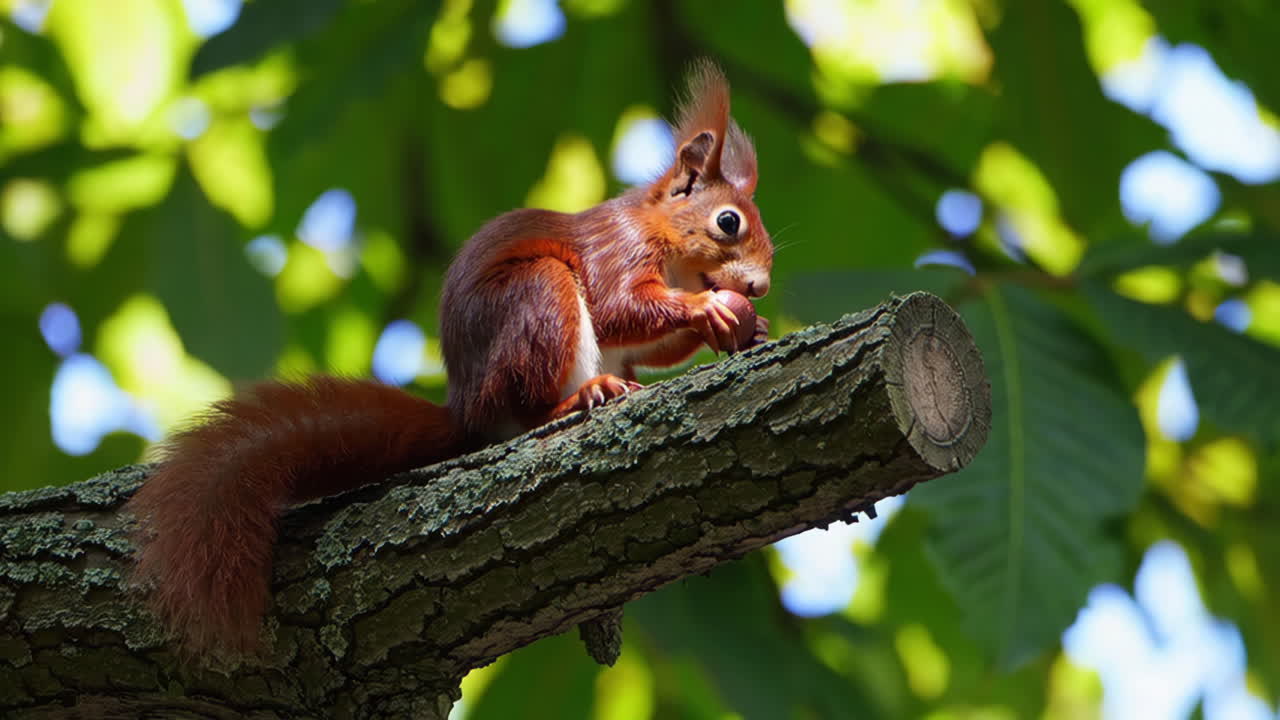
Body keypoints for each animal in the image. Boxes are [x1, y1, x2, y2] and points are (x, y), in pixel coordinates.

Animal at [125, 61, 774, 657]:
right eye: (728, 222)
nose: (761, 286)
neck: (669, 248)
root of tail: (466, 409)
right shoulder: (616, 253)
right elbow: (620, 309)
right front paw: (707, 308)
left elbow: (651, 344)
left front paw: (745, 326)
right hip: (538, 300)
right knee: (529, 406)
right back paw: (578, 398)